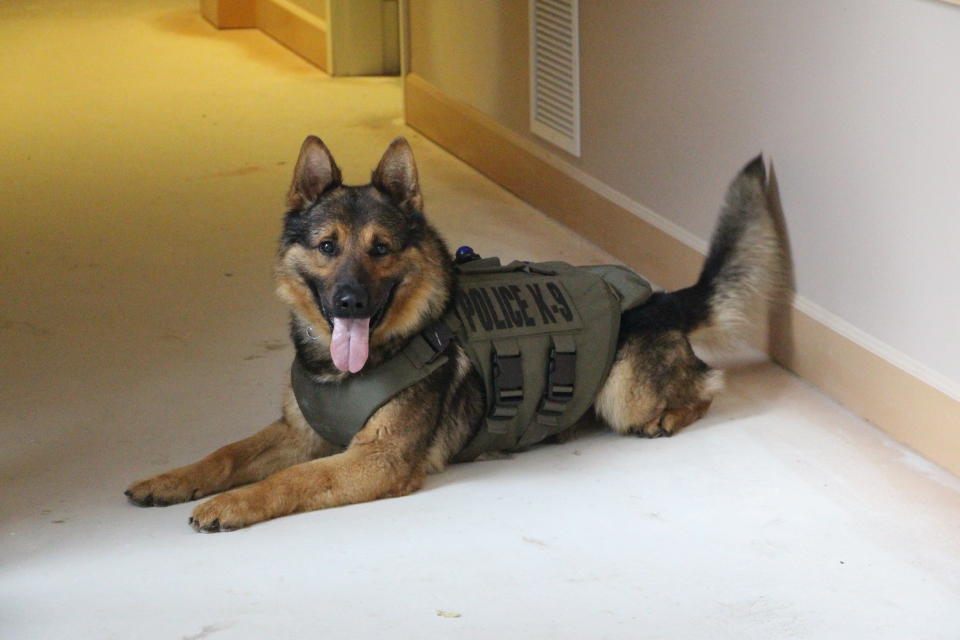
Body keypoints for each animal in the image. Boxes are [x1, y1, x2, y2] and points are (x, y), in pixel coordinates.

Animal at [124, 135, 784, 528]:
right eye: (328, 247)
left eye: (381, 249)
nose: (350, 300)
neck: (345, 371)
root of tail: (661, 301)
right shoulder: (297, 433)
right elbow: (226, 453)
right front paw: (172, 481)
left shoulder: (375, 461)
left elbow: (290, 479)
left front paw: (232, 504)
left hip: (627, 393)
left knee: (706, 386)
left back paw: (672, 414)